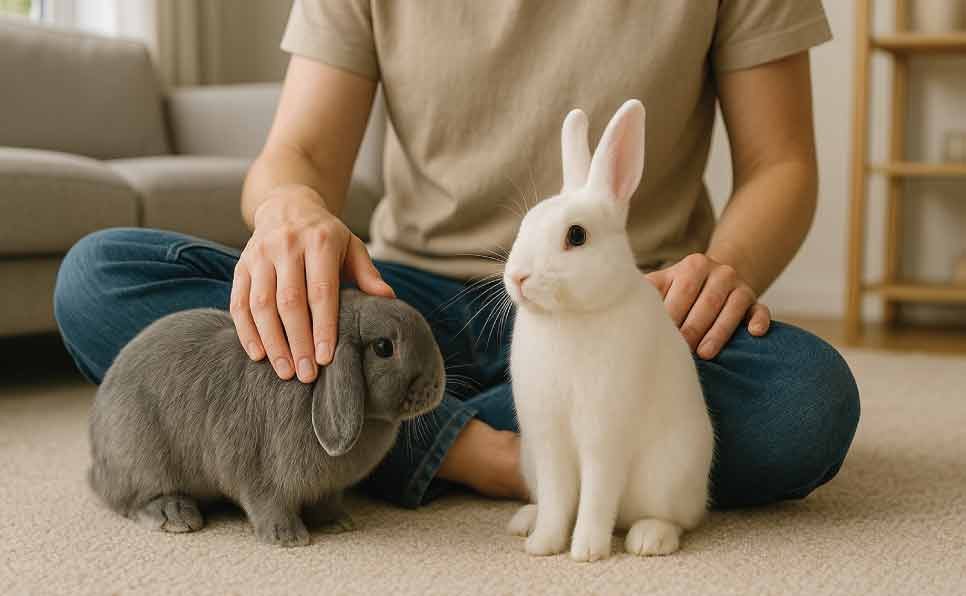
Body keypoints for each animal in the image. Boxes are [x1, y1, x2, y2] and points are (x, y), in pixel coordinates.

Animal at [88, 288, 445, 547]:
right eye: (384, 347)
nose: (439, 384)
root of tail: (96, 460)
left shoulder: (326, 489)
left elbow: (326, 503)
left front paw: (338, 523)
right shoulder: (259, 473)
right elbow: (267, 503)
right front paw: (288, 539)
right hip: (142, 457)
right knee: (131, 499)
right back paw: (176, 516)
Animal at [502, 100, 714, 561]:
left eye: (576, 235)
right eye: (525, 223)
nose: (518, 277)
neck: (569, 316)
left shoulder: (604, 434)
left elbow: (597, 496)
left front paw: (586, 551)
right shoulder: (548, 440)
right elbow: (558, 497)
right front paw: (543, 545)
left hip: (670, 477)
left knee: (676, 519)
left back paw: (648, 539)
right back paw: (525, 521)